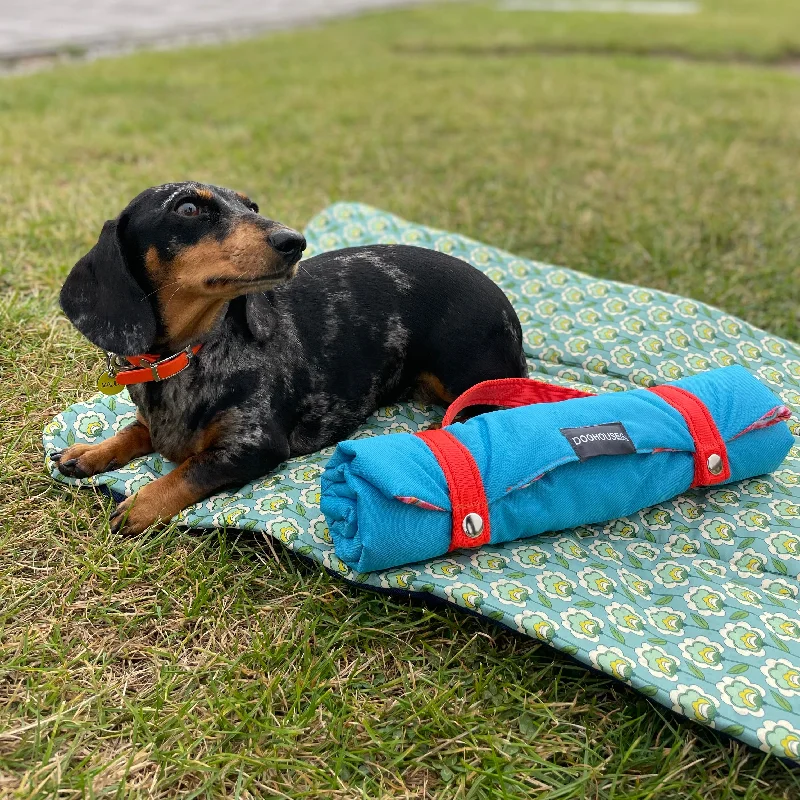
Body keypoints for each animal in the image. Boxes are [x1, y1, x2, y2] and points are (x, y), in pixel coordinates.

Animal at [51, 184, 524, 536]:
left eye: (252, 206)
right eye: (188, 208)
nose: (294, 241)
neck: (186, 355)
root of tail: (505, 304)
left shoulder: (253, 446)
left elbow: (188, 470)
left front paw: (139, 505)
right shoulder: (155, 421)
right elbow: (134, 432)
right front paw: (90, 452)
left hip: (471, 382)